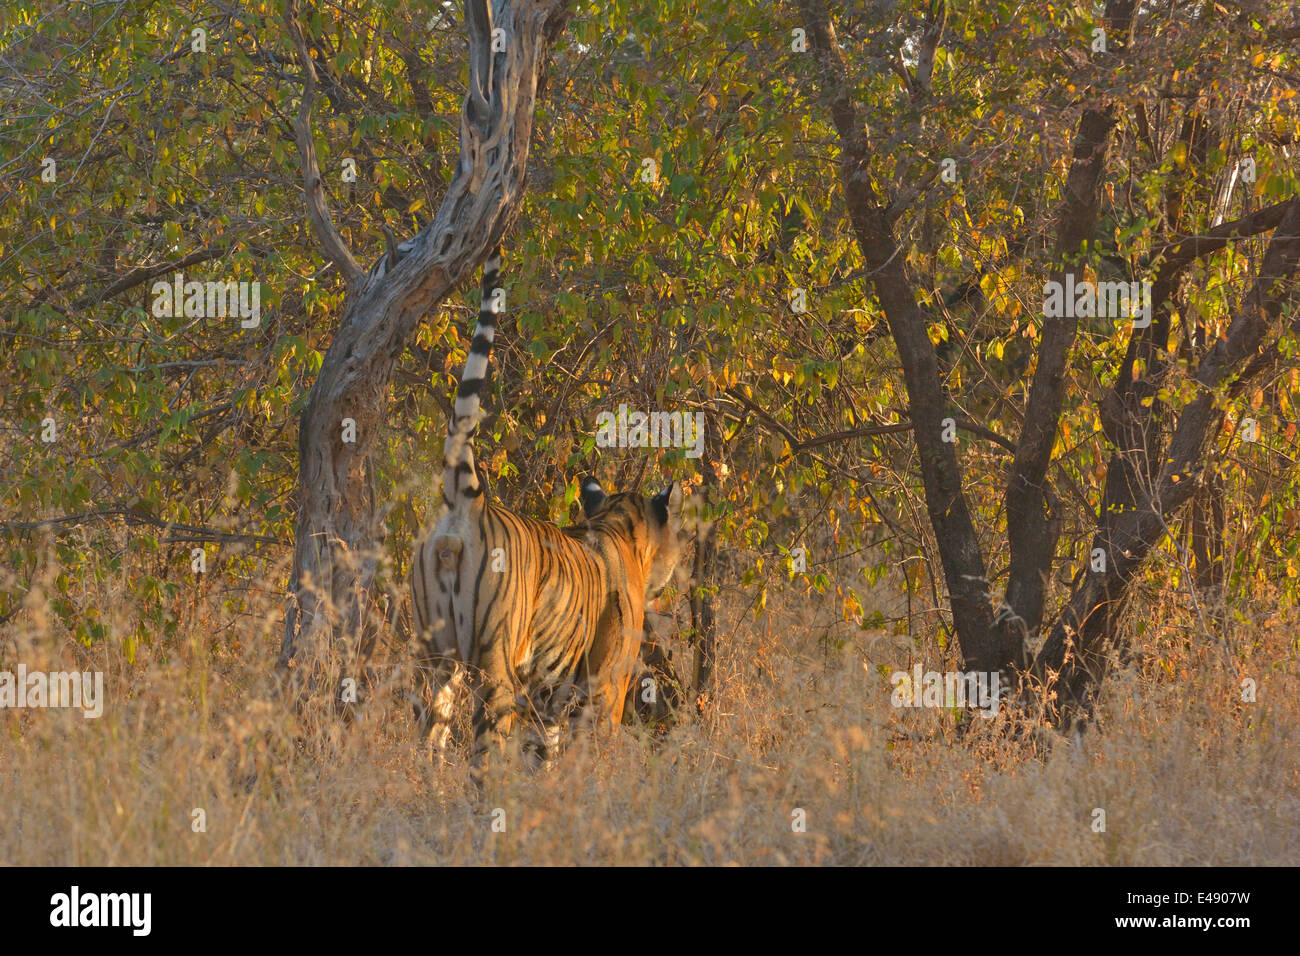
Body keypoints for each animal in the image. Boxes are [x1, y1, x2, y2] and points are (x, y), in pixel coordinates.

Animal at [409, 248, 683, 773]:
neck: (617, 523)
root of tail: (468, 501)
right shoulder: (605, 691)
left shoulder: (548, 700)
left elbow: (545, 754)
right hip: (494, 668)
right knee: (483, 755)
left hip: (434, 663)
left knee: (428, 740)